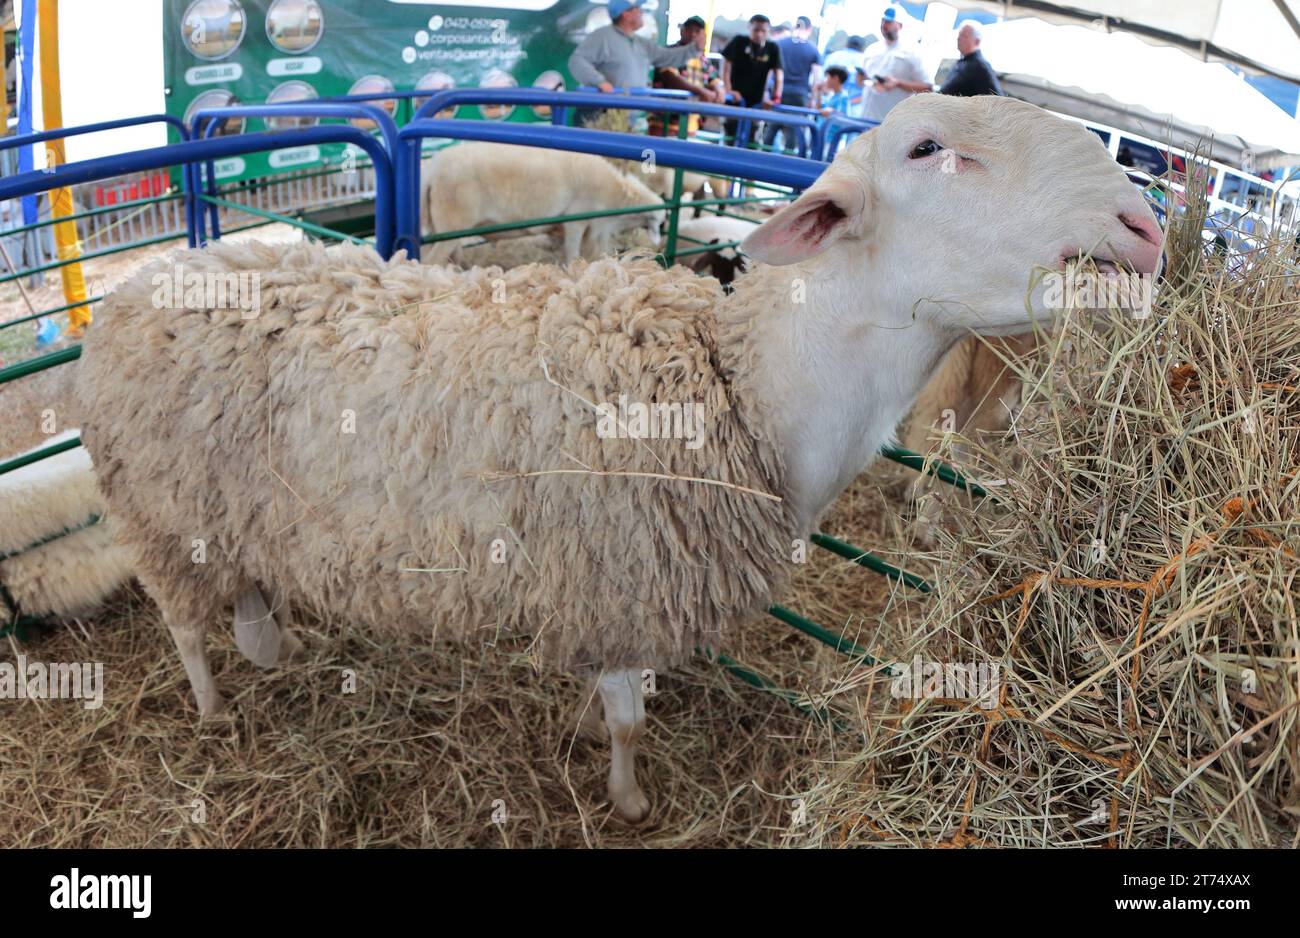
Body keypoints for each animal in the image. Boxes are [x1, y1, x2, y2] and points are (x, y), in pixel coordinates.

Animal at [421, 140, 665, 262]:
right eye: (660, 224)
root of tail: (433, 169)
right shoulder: (575, 222)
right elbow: (572, 253)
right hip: (451, 224)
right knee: (430, 261)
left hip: (440, 227)